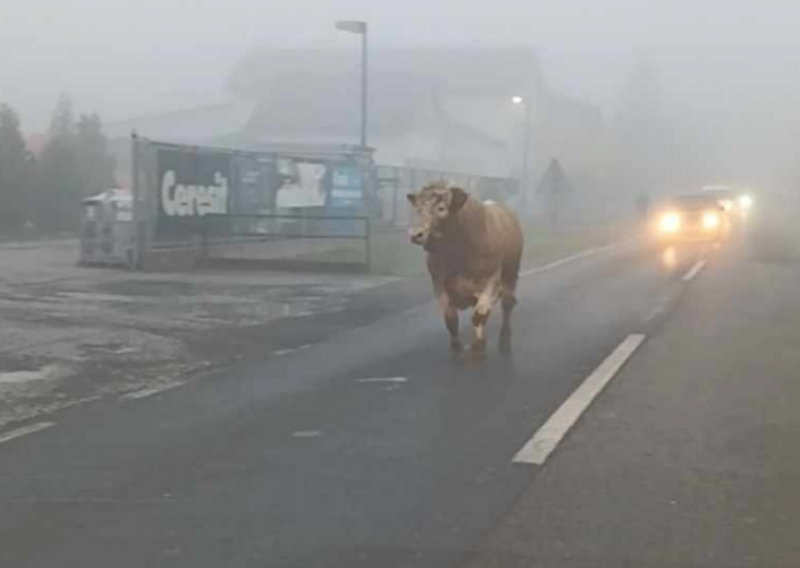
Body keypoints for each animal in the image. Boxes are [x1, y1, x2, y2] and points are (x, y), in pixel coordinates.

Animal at [406, 180, 524, 358]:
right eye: (418, 208)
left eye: (441, 208)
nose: (416, 234)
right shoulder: (438, 282)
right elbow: (451, 318)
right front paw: (457, 347)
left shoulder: (491, 280)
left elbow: (479, 314)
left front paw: (478, 344)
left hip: (510, 272)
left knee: (507, 304)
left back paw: (504, 337)